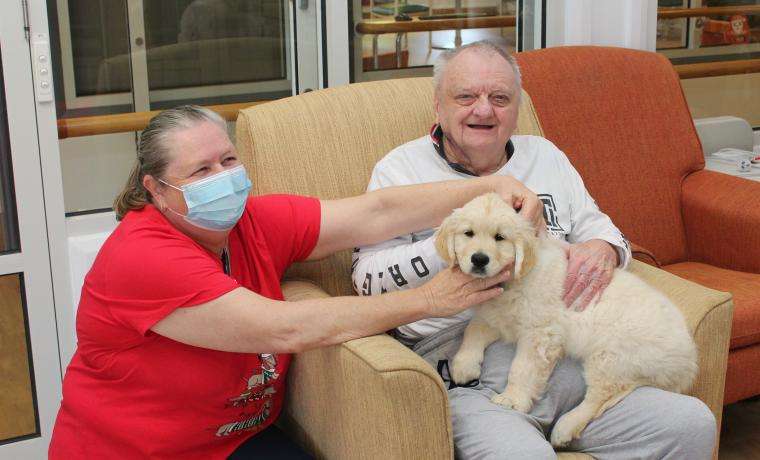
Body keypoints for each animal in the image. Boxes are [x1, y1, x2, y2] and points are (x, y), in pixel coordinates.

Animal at [436, 192, 696, 448]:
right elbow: (473, 329)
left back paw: (566, 426)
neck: (513, 281)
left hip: (610, 356)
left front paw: (513, 398)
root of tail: (688, 360)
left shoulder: (540, 334)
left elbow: (522, 368)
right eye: (468, 233)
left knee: (602, 395)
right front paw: (463, 365)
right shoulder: (498, 317)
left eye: (500, 237)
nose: (479, 259)